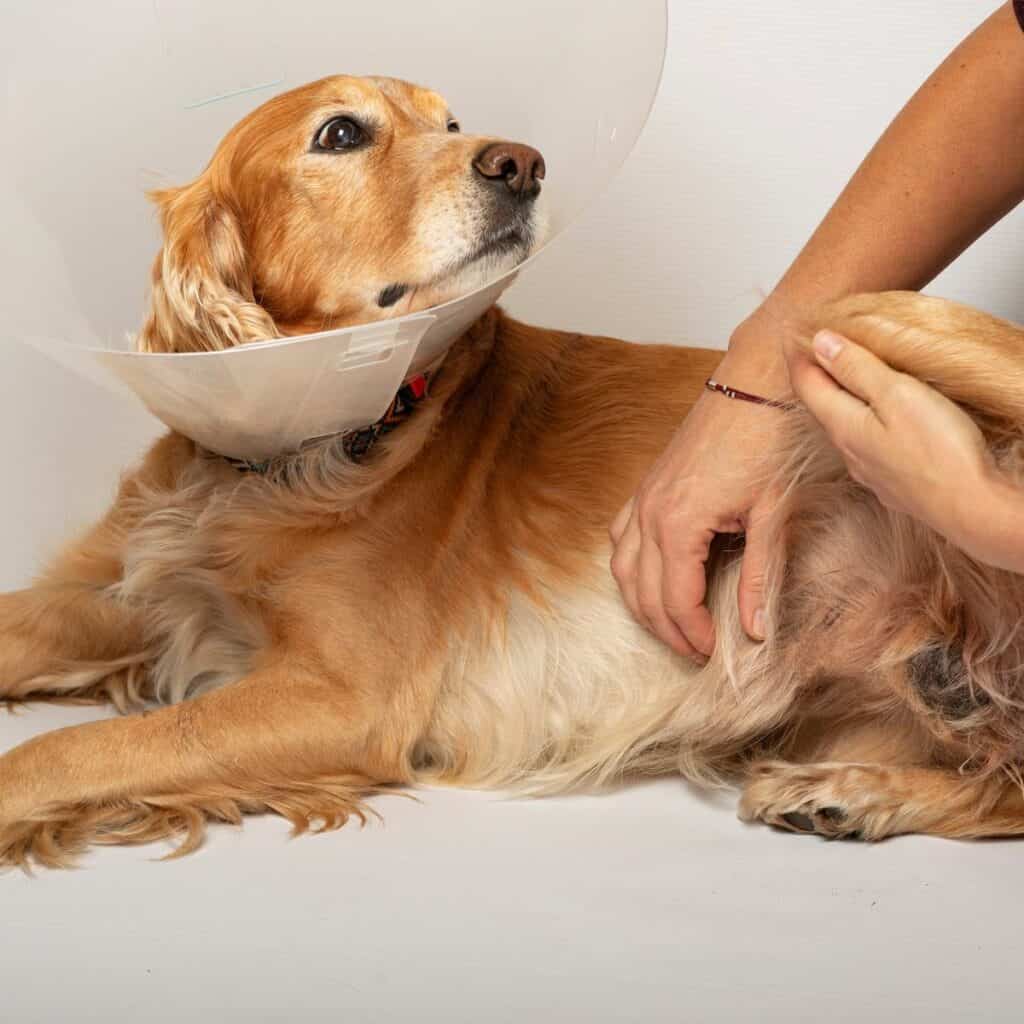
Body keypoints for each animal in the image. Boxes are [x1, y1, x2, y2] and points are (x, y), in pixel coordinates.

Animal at [2, 75, 1024, 868]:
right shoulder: (107, 595)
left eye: (452, 121)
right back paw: (850, 794)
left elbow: (68, 754)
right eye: (340, 133)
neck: (288, 457)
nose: (521, 163)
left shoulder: (340, 699)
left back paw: (855, 792)